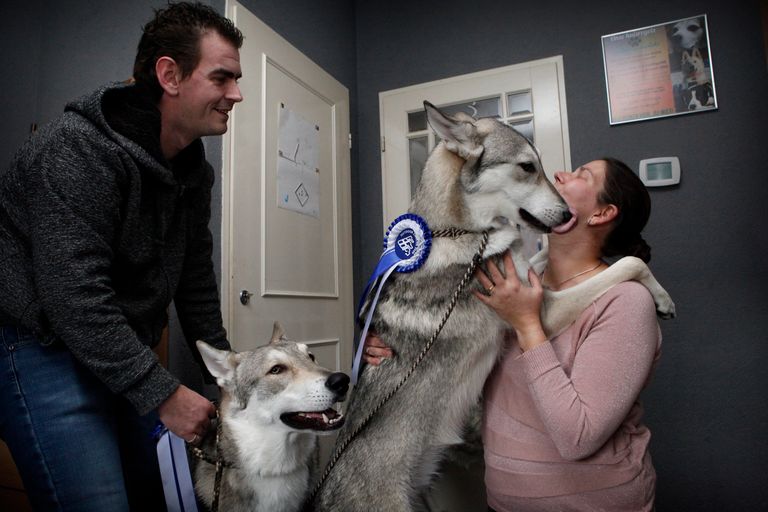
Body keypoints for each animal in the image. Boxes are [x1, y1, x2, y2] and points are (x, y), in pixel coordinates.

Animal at [310, 102, 672, 510]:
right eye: (528, 167)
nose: (568, 215)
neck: (466, 232)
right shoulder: (544, 310)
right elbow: (629, 263)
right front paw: (663, 298)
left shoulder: (528, 277)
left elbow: (544, 258)